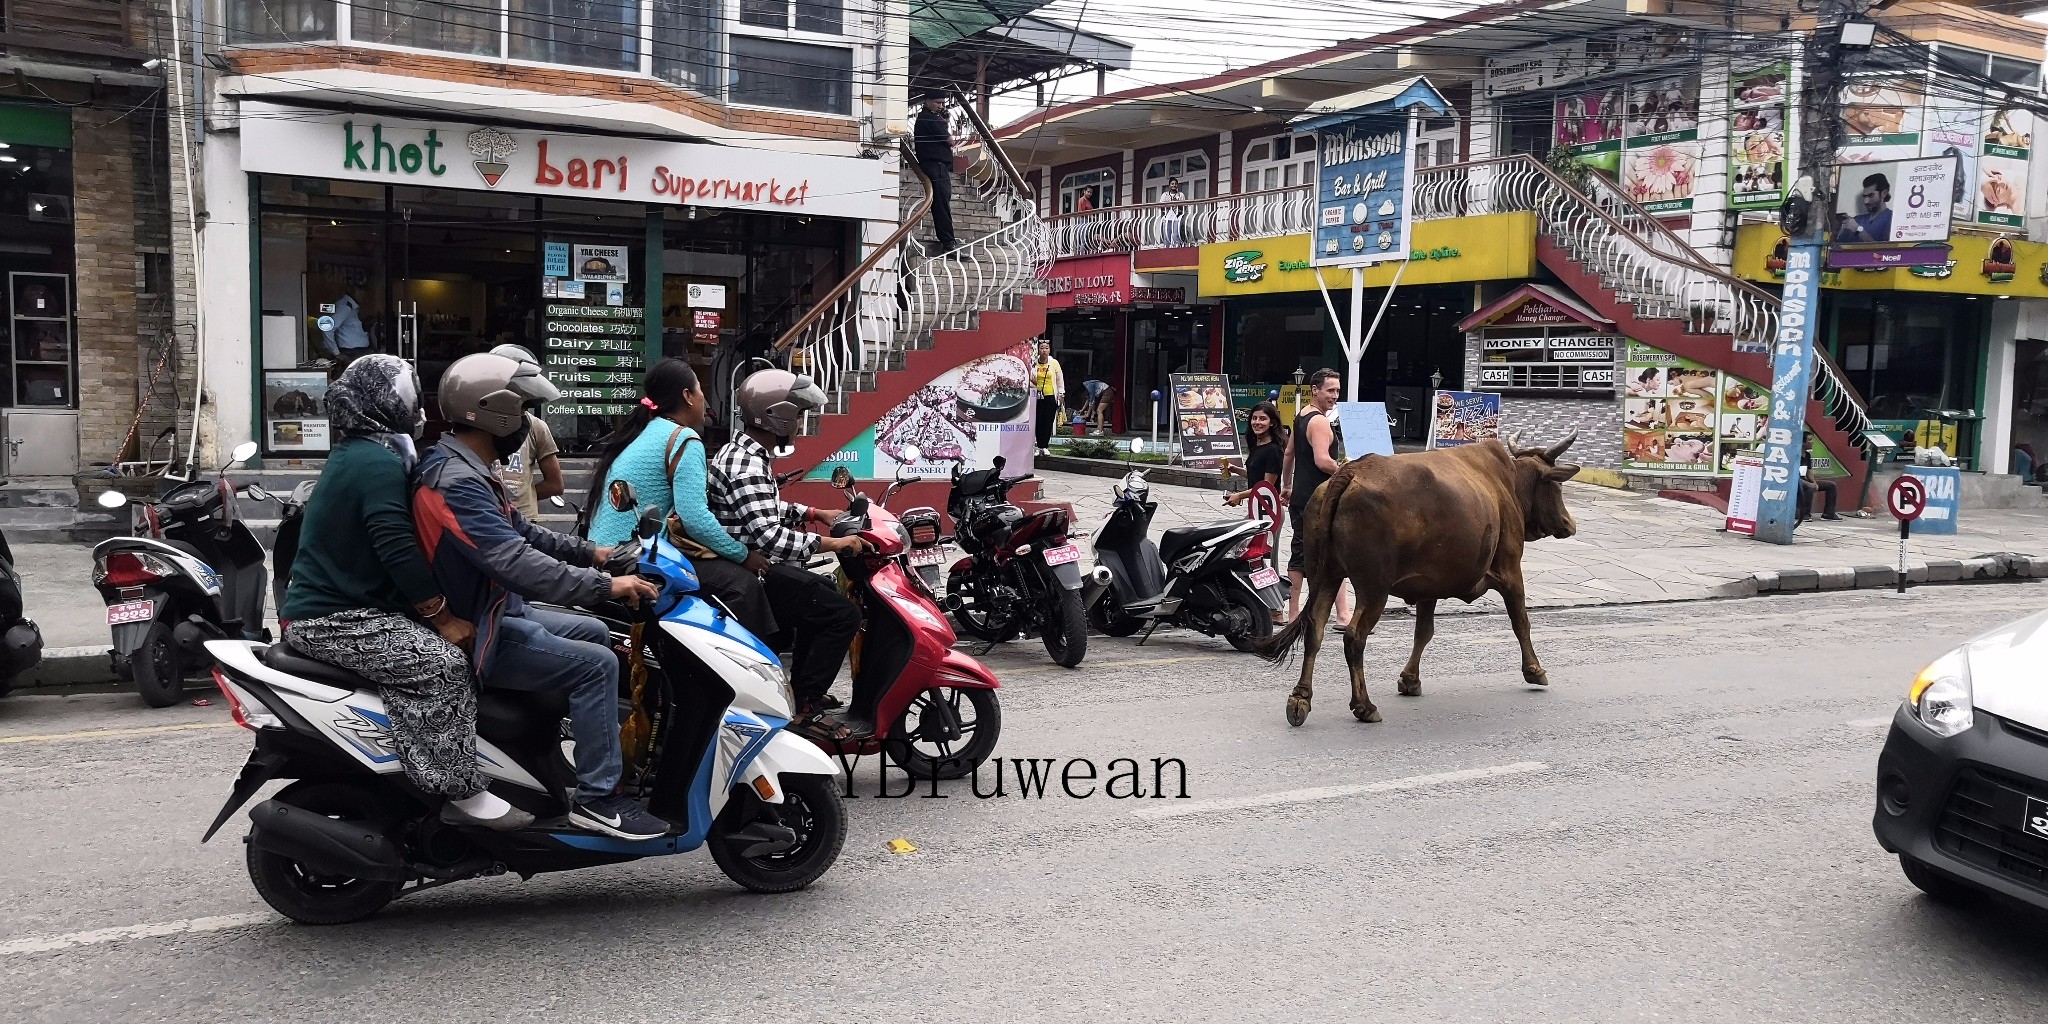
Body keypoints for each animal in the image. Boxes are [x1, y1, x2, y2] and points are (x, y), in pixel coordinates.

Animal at [1245, 432, 1581, 729]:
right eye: (1557, 486)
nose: (1570, 523)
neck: (1507, 484)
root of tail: (1351, 470)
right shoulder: (1511, 570)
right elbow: (1521, 622)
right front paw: (1535, 670)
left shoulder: (1428, 586)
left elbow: (1424, 633)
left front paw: (1409, 680)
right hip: (1373, 587)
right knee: (1354, 637)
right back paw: (1364, 706)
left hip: (1324, 575)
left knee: (1315, 629)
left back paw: (1300, 700)